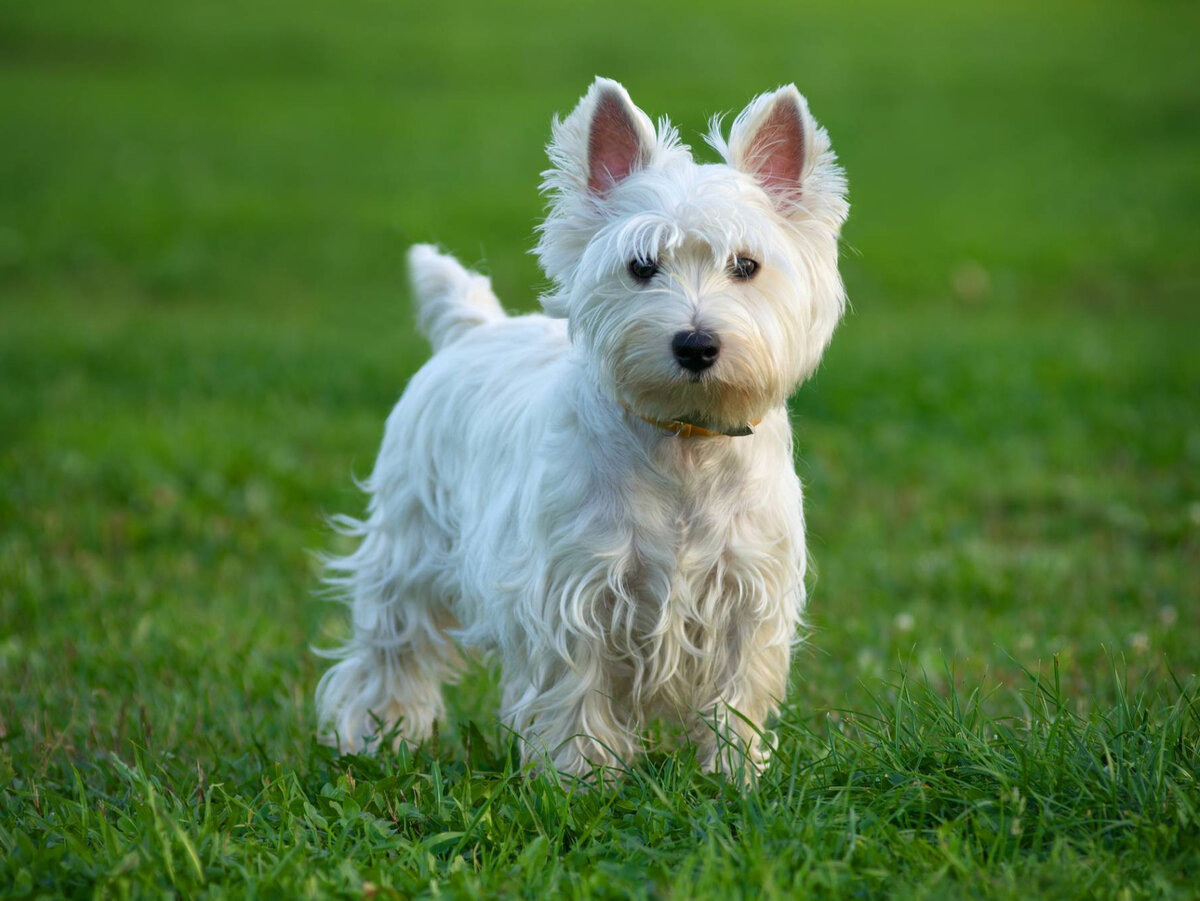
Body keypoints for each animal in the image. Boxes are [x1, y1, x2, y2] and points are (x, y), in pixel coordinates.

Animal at [314, 77, 849, 777]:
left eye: (746, 266)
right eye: (642, 265)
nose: (696, 345)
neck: (682, 442)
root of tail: (475, 328)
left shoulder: (746, 594)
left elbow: (736, 696)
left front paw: (736, 775)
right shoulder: (573, 592)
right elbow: (576, 692)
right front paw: (579, 779)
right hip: (409, 546)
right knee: (389, 650)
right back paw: (376, 739)